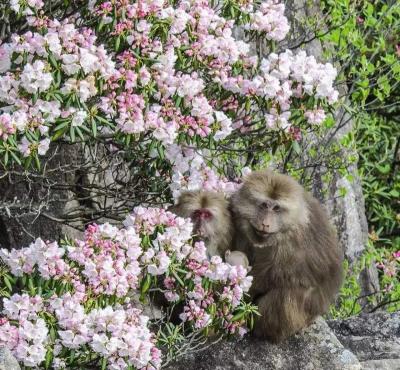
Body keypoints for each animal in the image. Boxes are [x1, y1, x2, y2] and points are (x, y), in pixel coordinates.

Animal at [231, 169, 344, 342]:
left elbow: (277, 275)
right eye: (264, 205)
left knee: (288, 293)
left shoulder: (291, 244)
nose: (265, 223)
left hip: (301, 318)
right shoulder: (242, 224)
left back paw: (262, 331)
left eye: (276, 208)